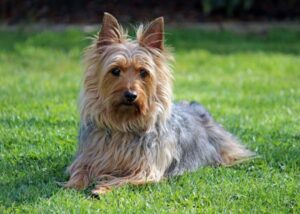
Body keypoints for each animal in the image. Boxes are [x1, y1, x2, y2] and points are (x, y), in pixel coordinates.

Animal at [64, 12, 254, 195]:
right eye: (115, 71)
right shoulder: (88, 158)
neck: (124, 123)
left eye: (143, 72)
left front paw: (102, 188)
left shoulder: (146, 169)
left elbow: (123, 180)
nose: (131, 95)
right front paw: (72, 185)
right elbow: (79, 171)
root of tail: (193, 106)